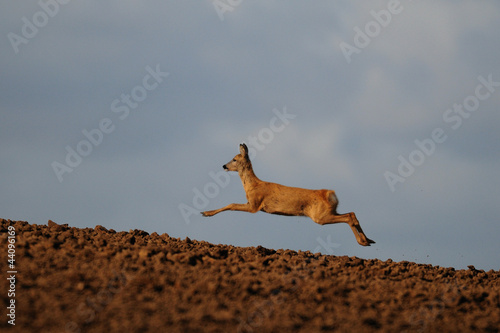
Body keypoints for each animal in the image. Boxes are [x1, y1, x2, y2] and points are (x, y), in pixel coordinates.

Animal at [201, 143, 374, 246]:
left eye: (235, 159)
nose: (224, 166)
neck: (252, 186)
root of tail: (329, 194)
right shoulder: (253, 204)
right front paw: (206, 212)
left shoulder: (254, 205)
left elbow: (231, 205)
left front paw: (206, 213)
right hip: (329, 212)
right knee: (351, 213)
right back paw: (368, 240)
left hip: (320, 216)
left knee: (348, 217)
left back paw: (363, 241)